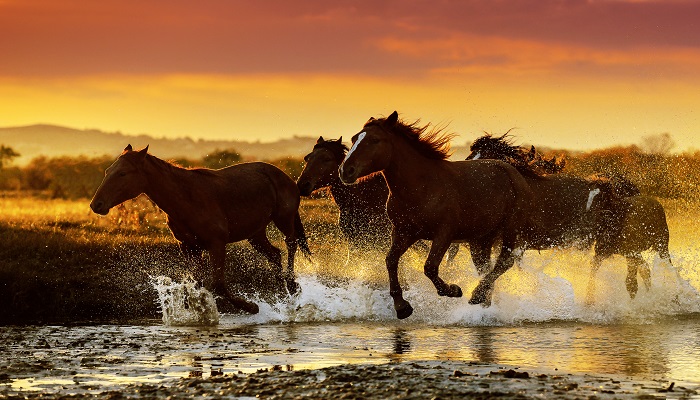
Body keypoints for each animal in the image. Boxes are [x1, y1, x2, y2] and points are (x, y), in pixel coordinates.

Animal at [90, 145, 311, 314]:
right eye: (107, 171)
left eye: (123, 173)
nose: (96, 205)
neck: (186, 199)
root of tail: (286, 177)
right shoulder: (189, 247)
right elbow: (198, 285)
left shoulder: (216, 244)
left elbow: (218, 285)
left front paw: (251, 307)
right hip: (255, 233)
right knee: (275, 254)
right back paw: (285, 293)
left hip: (284, 219)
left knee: (291, 244)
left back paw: (293, 287)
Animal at [339, 111, 535, 319]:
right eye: (354, 138)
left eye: (375, 140)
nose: (345, 171)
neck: (422, 187)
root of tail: (514, 173)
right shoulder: (403, 233)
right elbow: (391, 261)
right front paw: (402, 307)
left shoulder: (444, 234)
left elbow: (430, 267)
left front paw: (453, 290)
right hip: (481, 239)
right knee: (485, 267)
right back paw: (483, 303)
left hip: (510, 230)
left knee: (505, 262)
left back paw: (476, 295)